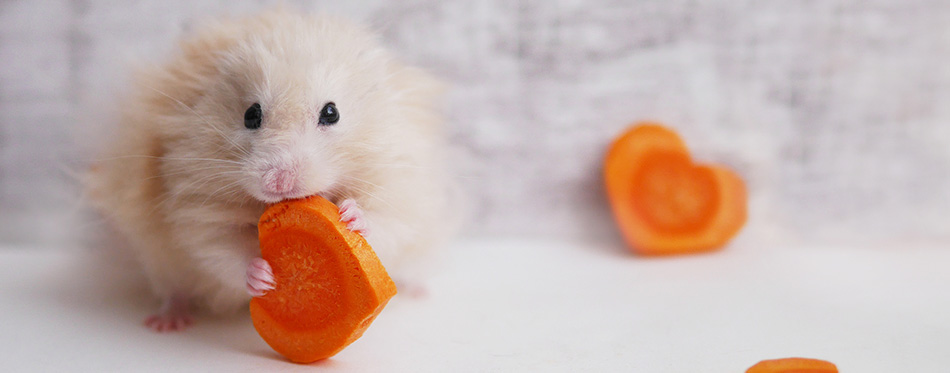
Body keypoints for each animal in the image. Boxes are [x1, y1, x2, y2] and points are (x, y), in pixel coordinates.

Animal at [85, 10, 454, 332]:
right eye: (251, 114)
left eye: (331, 112)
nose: (278, 182)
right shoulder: (198, 206)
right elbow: (223, 247)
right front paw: (264, 277)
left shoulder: (400, 183)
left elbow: (385, 221)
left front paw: (352, 215)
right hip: (158, 257)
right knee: (173, 290)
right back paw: (166, 322)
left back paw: (416, 291)